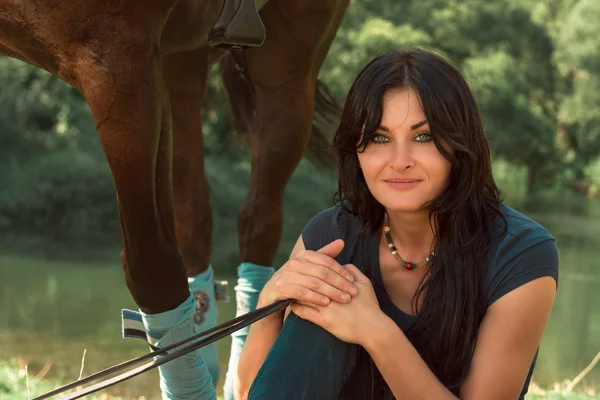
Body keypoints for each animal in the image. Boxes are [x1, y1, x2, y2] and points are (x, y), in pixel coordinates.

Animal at [0, 0, 350, 394]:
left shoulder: (116, 62)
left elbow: (154, 270)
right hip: (179, 62)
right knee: (195, 221)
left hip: (291, 54)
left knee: (258, 221)